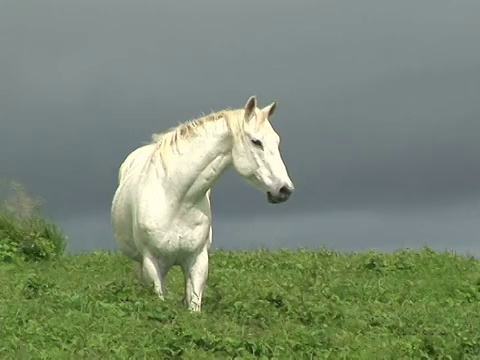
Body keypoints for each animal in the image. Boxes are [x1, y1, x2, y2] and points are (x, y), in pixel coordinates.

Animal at [110, 95, 294, 312]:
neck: (175, 199)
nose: (285, 190)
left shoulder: (197, 261)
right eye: (256, 142)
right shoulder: (153, 264)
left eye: (276, 141)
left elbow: (194, 305)